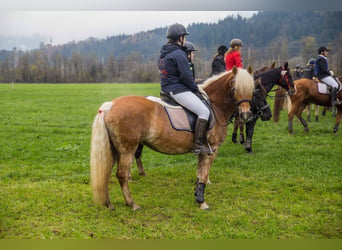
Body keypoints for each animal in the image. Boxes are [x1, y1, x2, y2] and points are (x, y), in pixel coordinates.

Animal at [89, 66, 255, 211]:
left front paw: (197, 194)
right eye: (235, 89)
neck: (215, 105)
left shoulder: (203, 151)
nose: (246, 115)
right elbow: (203, 175)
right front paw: (202, 202)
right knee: (122, 175)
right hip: (127, 150)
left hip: (115, 149)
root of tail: (110, 105)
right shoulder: (212, 149)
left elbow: (199, 172)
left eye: (252, 90)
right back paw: (132, 204)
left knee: (106, 172)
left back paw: (109, 203)